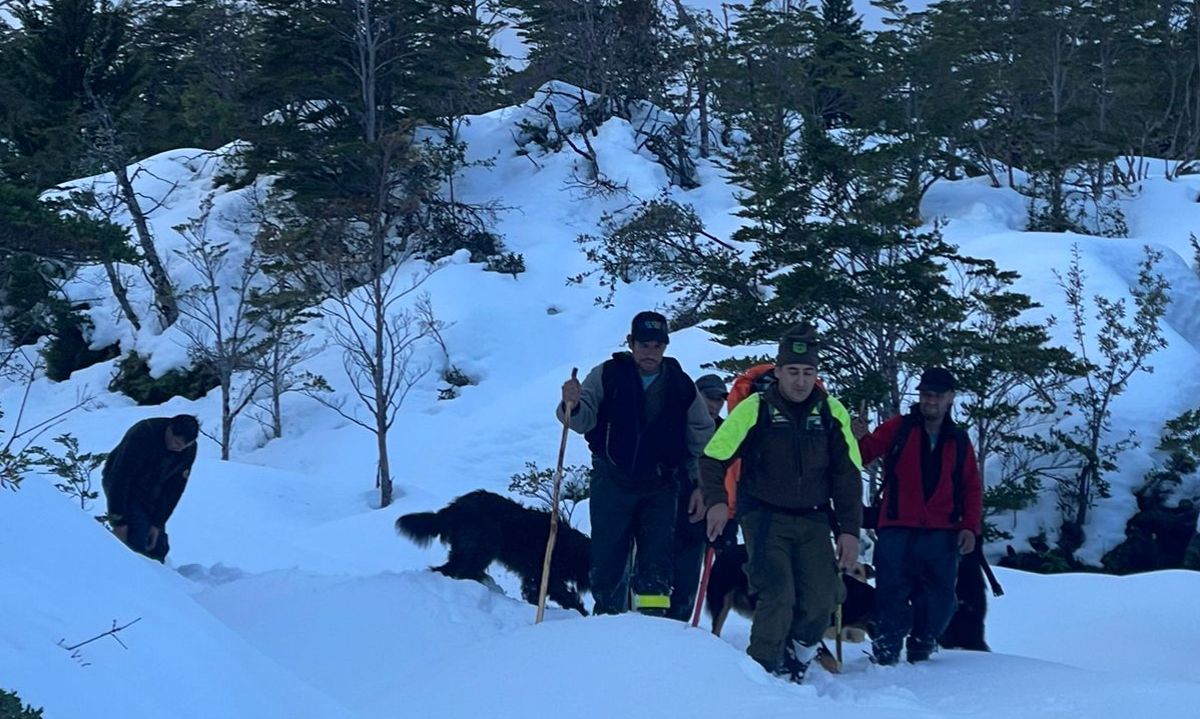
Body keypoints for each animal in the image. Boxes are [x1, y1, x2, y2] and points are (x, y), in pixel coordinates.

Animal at [396, 492, 592, 614]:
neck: (570, 549)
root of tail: (452, 509)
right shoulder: (547, 576)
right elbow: (565, 595)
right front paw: (581, 612)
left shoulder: (533, 577)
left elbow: (533, 593)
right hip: (481, 546)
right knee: (459, 569)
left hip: (468, 549)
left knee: (450, 568)